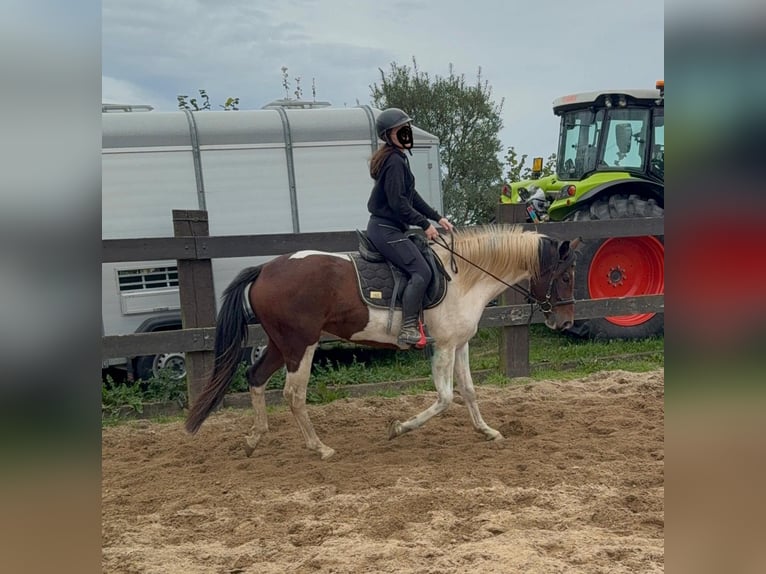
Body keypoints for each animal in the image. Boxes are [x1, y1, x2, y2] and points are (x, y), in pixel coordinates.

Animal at [185, 225, 580, 460]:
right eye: (565, 277)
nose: (565, 322)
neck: (463, 277)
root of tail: (265, 269)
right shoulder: (444, 347)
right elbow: (445, 398)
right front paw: (399, 428)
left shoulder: (460, 345)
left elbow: (468, 392)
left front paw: (487, 431)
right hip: (301, 346)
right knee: (293, 395)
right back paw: (320, 448)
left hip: (280, 343)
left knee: (255, 378)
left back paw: (254, 439)